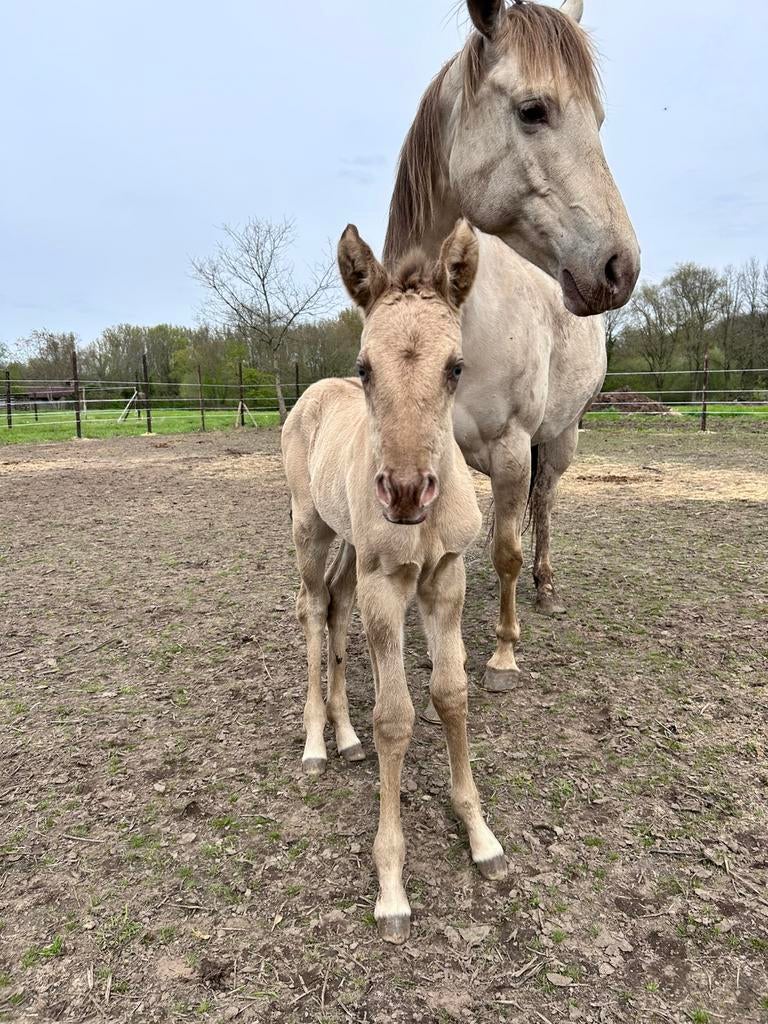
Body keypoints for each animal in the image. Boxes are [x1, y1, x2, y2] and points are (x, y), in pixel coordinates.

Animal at [282, 221, 506, 944]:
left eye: (456, 367)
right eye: (365, 367)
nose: (406, 493)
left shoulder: (446, 577)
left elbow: (452, 694)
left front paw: (481, 837)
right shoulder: (387, 584)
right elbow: (397, 718)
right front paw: (391, 888)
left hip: (353, 545)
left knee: (335, 605)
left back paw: (345, 738)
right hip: (311, 528)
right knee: (312, 609)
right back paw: (317, 743)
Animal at [380, 0, 641, 694]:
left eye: (598, 120)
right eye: (533, 110)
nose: (620, 269)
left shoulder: (511, 447)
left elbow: (506, 549)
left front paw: (502, 654)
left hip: (559, 437)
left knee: (543, 506)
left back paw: (544, 590)